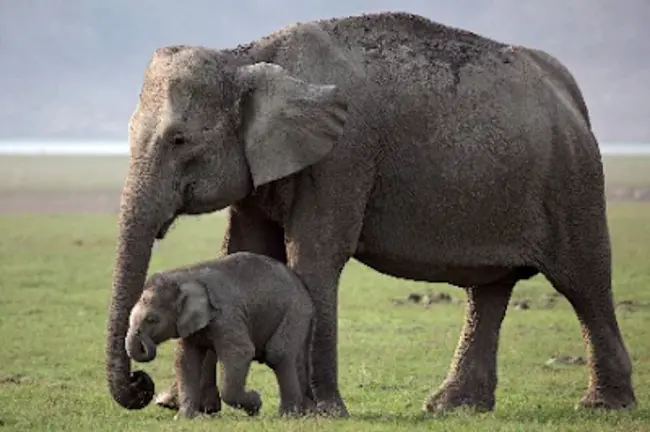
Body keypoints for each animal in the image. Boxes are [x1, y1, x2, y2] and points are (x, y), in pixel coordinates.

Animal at [126, 251, 314, 420]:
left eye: (152, 320)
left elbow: (241, 352)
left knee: (278, 354)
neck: (186, 276)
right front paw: (184, 419)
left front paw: (255, 402)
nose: (135, 375)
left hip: (296, 311)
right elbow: (186, 360)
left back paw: (288, 415)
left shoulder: (227, 316)